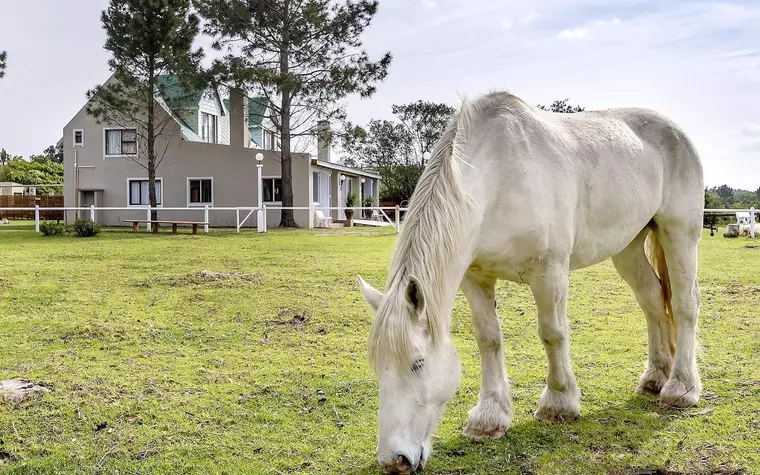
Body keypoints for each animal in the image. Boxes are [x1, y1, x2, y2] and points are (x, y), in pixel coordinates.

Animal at [360, 91, 704, 474]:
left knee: (685, 304)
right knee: (653, 301)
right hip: (628, 247)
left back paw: (680, 389)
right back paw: (655, 377)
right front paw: (489, 418)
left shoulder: (549, 272)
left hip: (679, 233)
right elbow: (488, 340)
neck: (498, 178)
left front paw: (559, 403)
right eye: (378, 365)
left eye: (418, 363)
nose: (394, 461)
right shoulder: (475, 278)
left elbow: (552, 334)